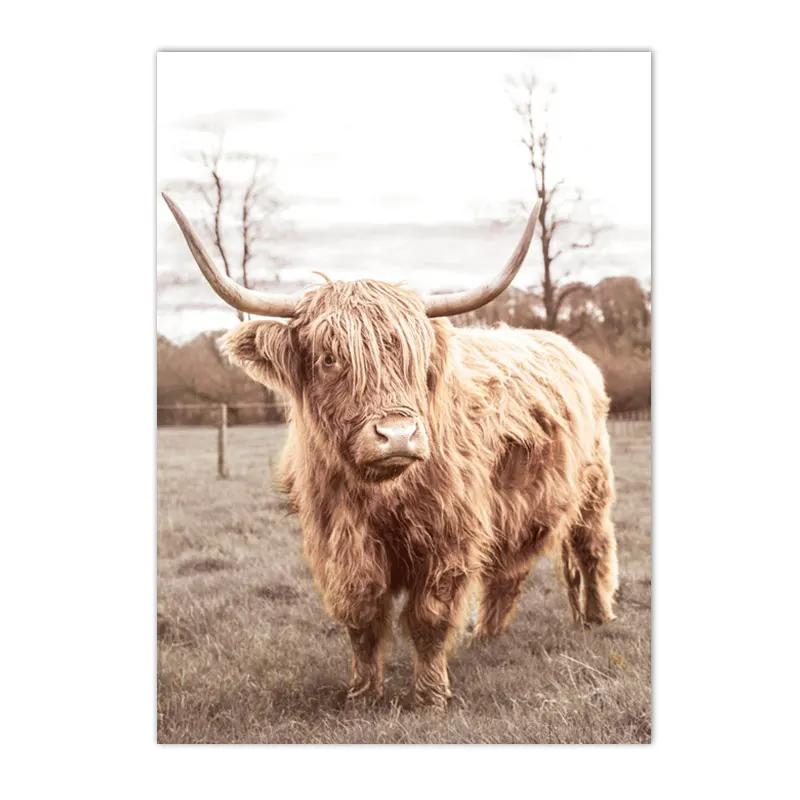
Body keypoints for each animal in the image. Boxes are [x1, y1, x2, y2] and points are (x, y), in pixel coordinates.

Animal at [162, 193, 619, 708]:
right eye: (329, 358)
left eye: (413, 359)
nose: (398, 435)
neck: (382, 496)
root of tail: (565, 346)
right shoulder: (343, 544)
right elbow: (362, 616)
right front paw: (363, 693)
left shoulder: (448, 537)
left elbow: (428, 618)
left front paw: (431, 695)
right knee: (509, 570)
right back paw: (487, 634)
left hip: (593, 488)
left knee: (592, 549)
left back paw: (597, 619)